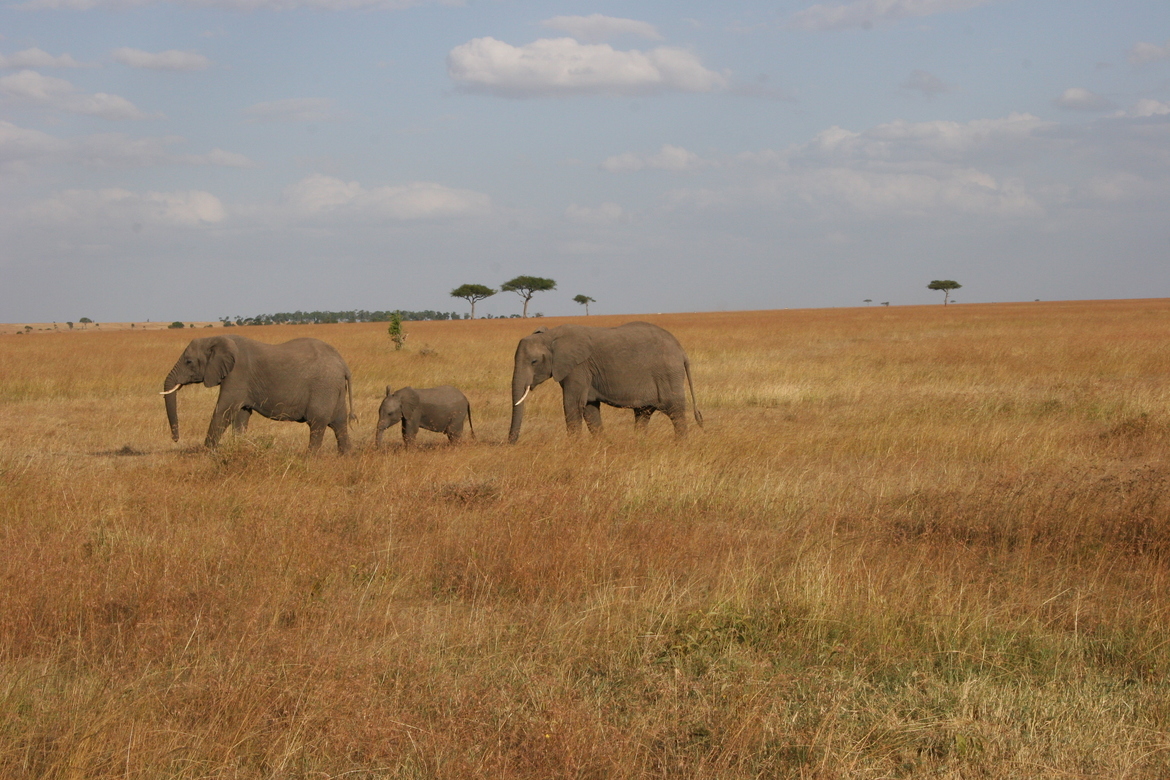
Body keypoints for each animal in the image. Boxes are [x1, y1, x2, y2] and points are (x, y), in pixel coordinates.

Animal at [161, 334, 355, 453]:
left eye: (189, 361)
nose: (176, 439)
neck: (217, 338)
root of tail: (343, 364)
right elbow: (240, 415)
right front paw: (239, 446)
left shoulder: (237, 374)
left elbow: (224, 411)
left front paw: (208, 452)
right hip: (334, 389)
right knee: (339, 423)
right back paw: (344, 457)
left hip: (324, 387)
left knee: (317, 423)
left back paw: (310, 459)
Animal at [508, 321, 702, 443]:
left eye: (534, 362)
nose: (510, 443)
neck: (550, 336)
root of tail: (682, 351)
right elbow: (589, 408)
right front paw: (602, 445)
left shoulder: (578, 367)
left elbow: (573, 404)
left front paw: (573, 447)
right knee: (643, 413)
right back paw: (639, 442)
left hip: (668, 374)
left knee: (675, 411)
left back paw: (681, 444)